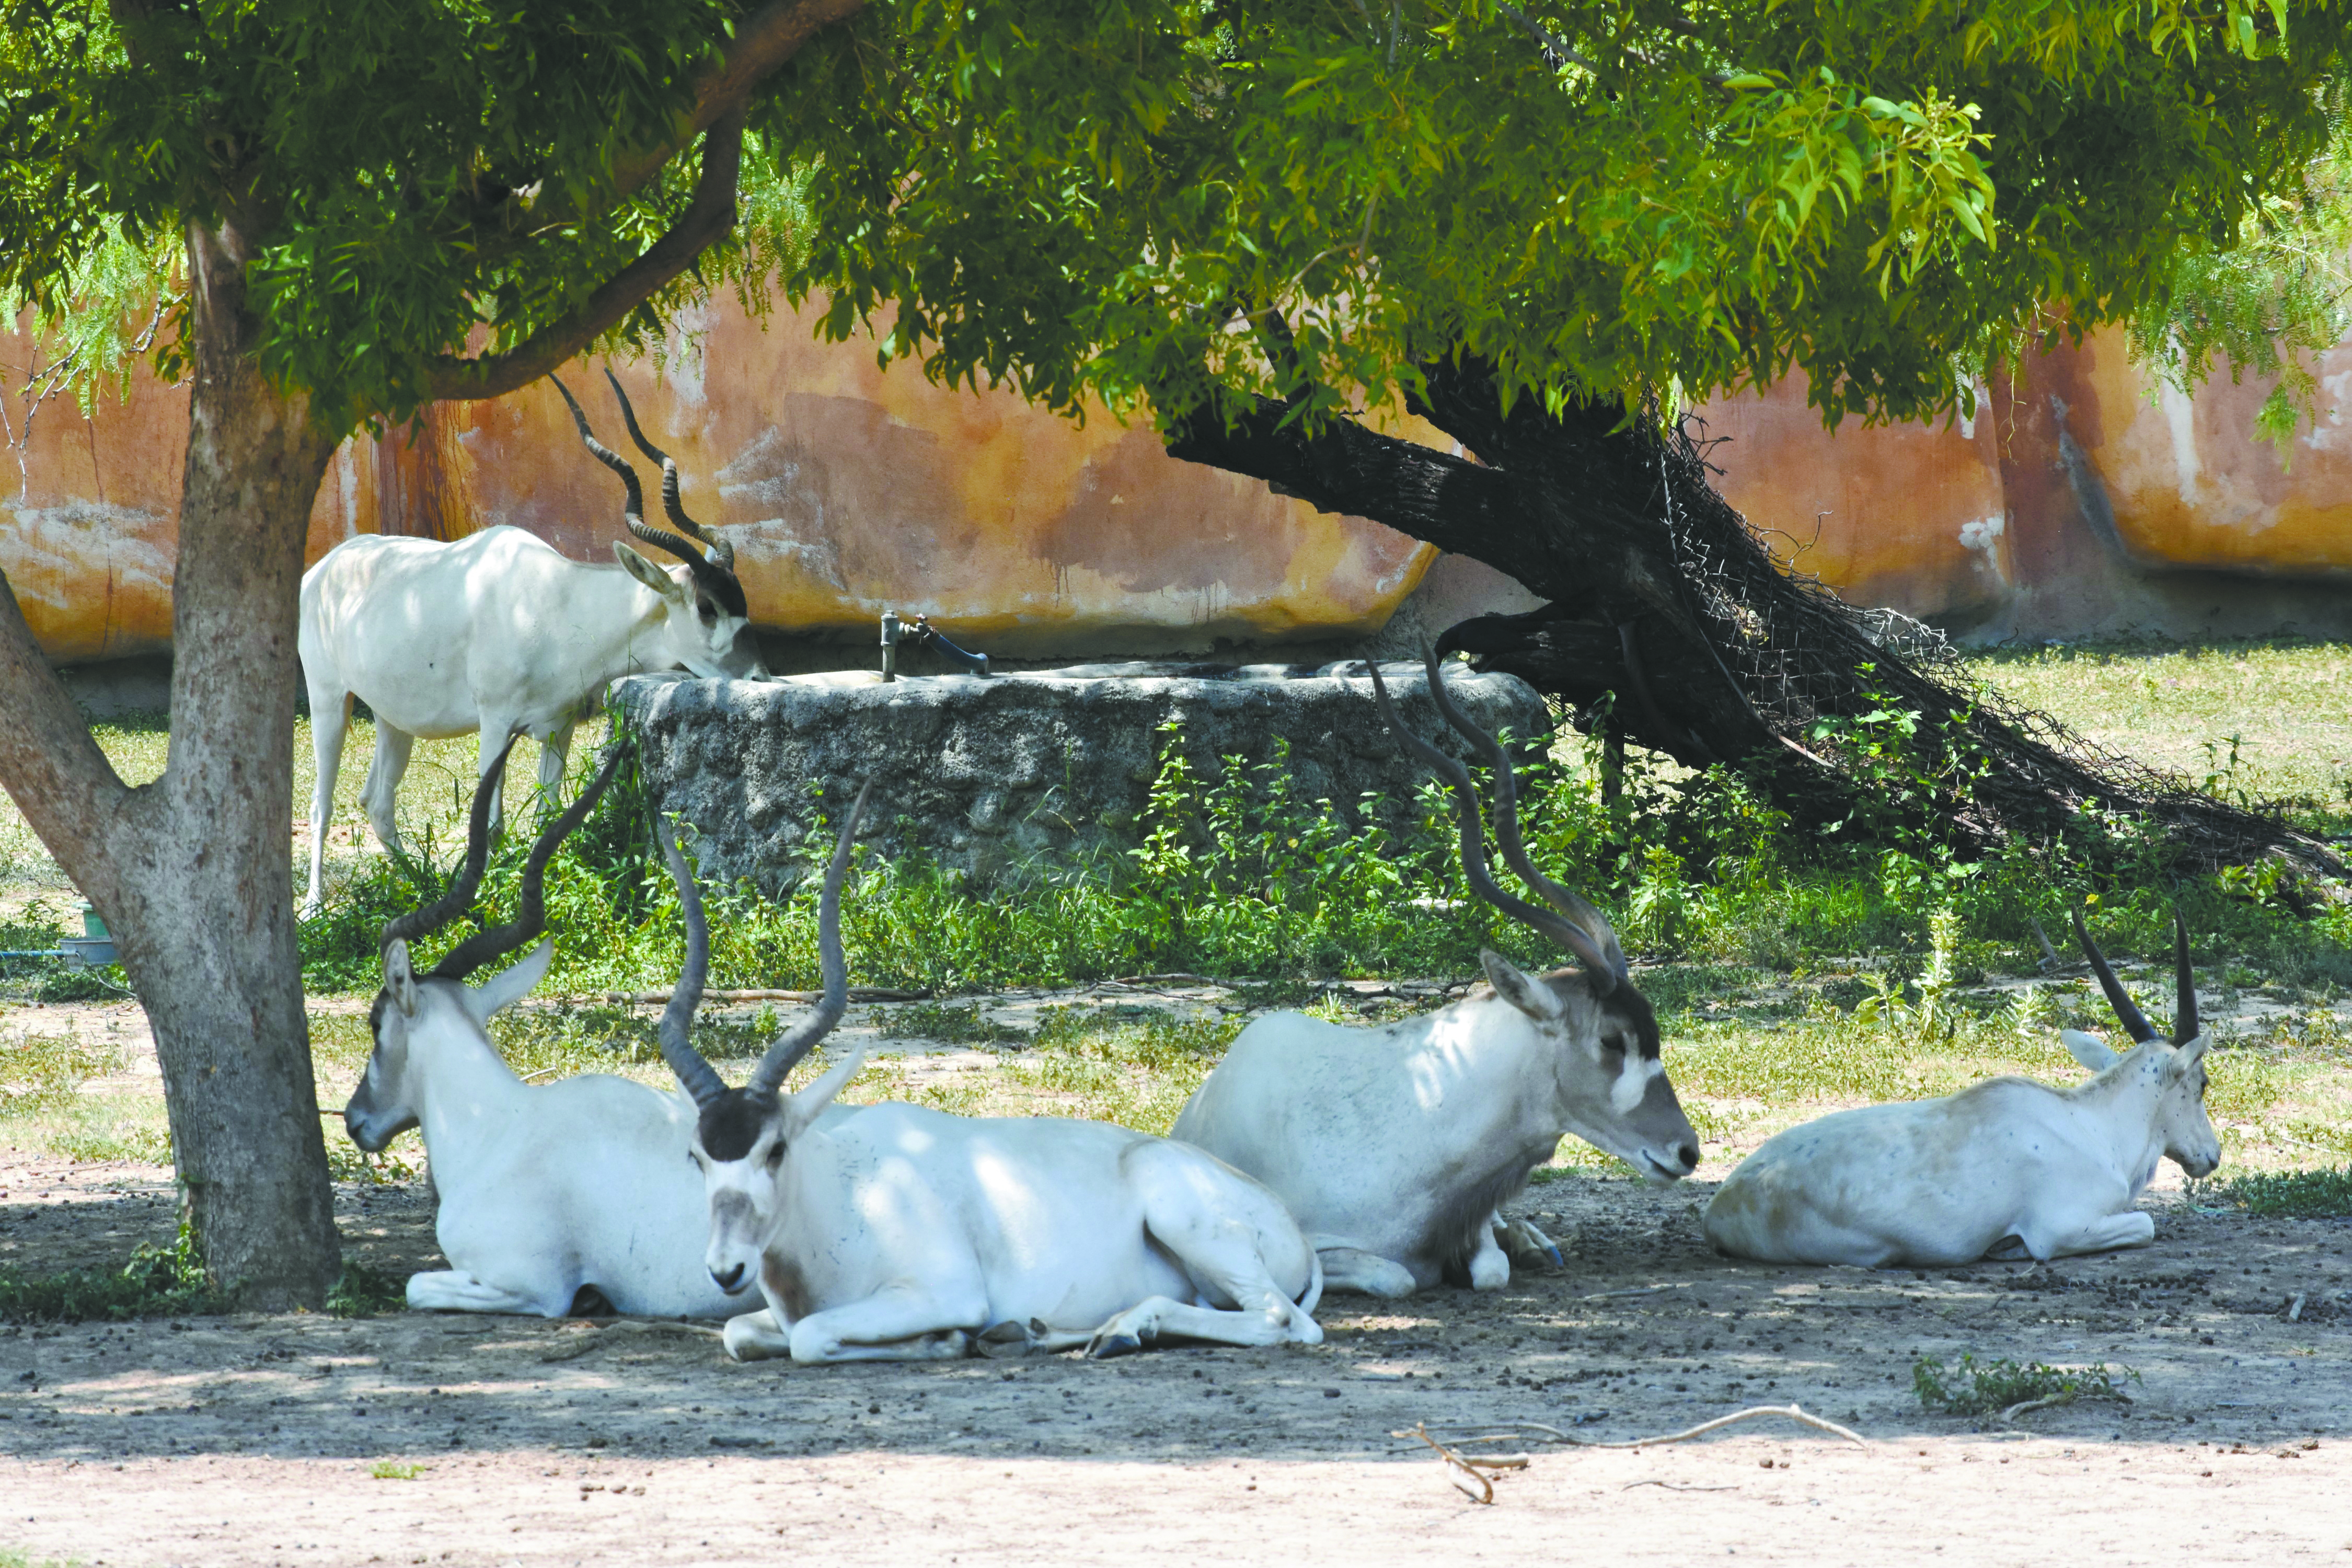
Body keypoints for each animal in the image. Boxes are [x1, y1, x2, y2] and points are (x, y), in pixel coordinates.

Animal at [294, 374, 767, 921]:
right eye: (707, 608)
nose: (759, 676)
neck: (558, 603)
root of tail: (321, 571)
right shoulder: (496, 725)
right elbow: (491, 826)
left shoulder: (557, 730)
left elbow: (546, 817)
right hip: (329, 699)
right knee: (322, 802)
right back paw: (316, 906)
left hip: (394, 719)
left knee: (377, 800)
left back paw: (420, 886)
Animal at [654, 790, 1336, 1363]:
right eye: (696, 1156)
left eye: (775, 1150)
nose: (727, 1270)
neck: (843, 1190)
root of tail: (1290, 1228)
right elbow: (739, 1332)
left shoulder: (942, 1290)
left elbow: (813, 1337)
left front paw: (944, 1340)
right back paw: (1046, 1331)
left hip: (1188, 1220)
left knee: (1283, 1320)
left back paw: (1120, 1330)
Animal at [1703, 907, 2211, 1278]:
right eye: (2203, 1083)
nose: (2211, 1155)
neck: (2093, 1125)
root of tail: (1723, 1203)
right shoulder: (2063, 1228)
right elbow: (2146, 1224)